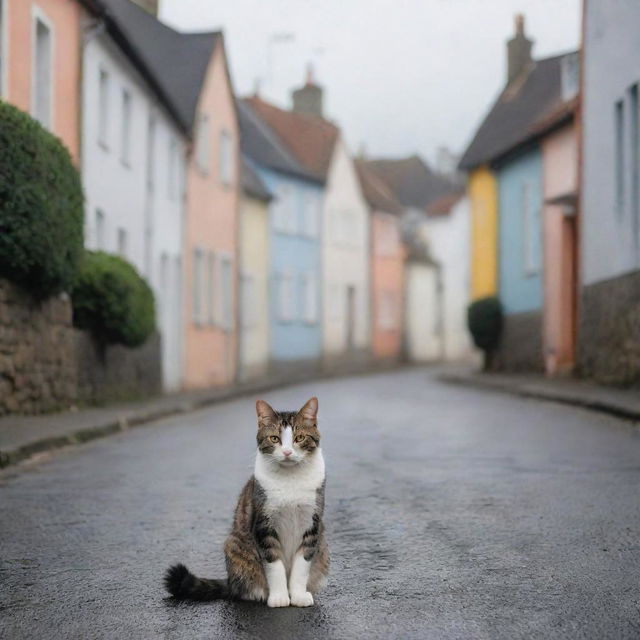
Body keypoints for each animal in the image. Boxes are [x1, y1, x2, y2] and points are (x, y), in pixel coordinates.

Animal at [164, 398, 330, 608]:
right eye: (274, 438)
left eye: (299, 438)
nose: (287, 451)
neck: (290, 478)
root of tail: (230, 582)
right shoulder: (263, 524)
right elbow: (273, 564)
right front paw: (279, 597)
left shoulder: (312, 524)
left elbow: (302, 565)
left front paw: (298, 596)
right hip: (234, 545)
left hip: (323, 547)